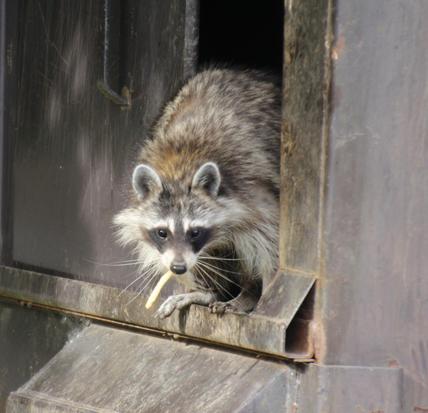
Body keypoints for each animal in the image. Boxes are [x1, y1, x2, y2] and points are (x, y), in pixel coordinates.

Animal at [113, 68, 280, 318]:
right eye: (162, 232)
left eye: (195, 232)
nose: (178, 267)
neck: (179, 169)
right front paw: (208, 290)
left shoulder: (254, 185)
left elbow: (264, 243)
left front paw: (257, 291)